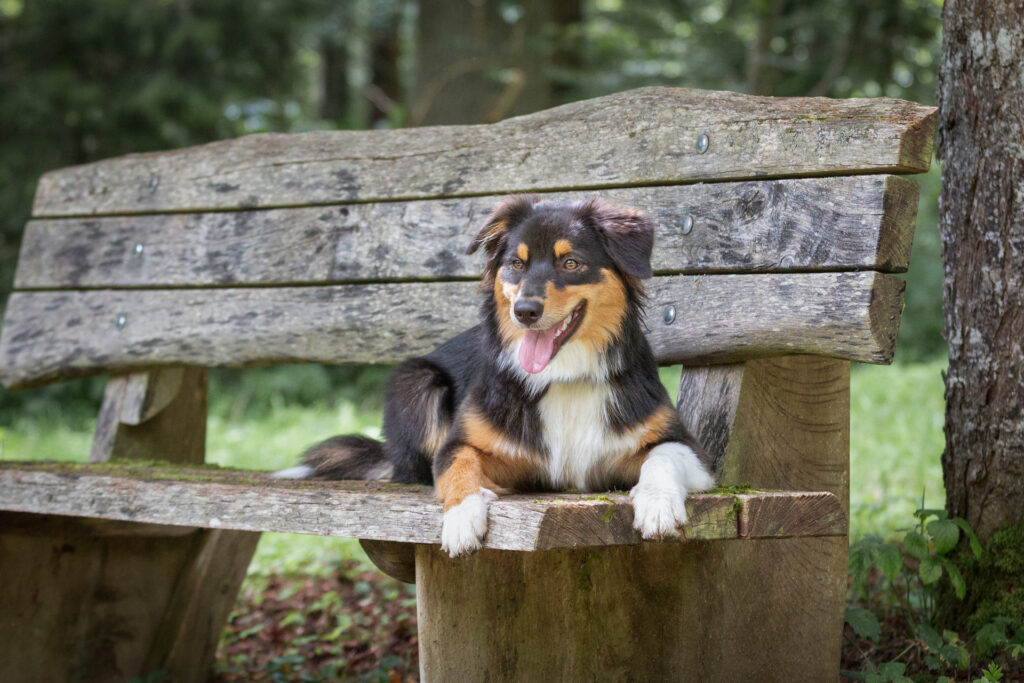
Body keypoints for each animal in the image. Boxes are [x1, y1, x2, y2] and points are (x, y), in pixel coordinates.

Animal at [276, 196, 716, 557]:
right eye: (516, 264)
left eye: (570, 263)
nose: (525, 311)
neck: (563, 378)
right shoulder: (466, 445)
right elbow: (459, 467)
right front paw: (461, 518)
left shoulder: (686, 448)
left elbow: (661, 457)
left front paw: (657, 505)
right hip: (418, 381)